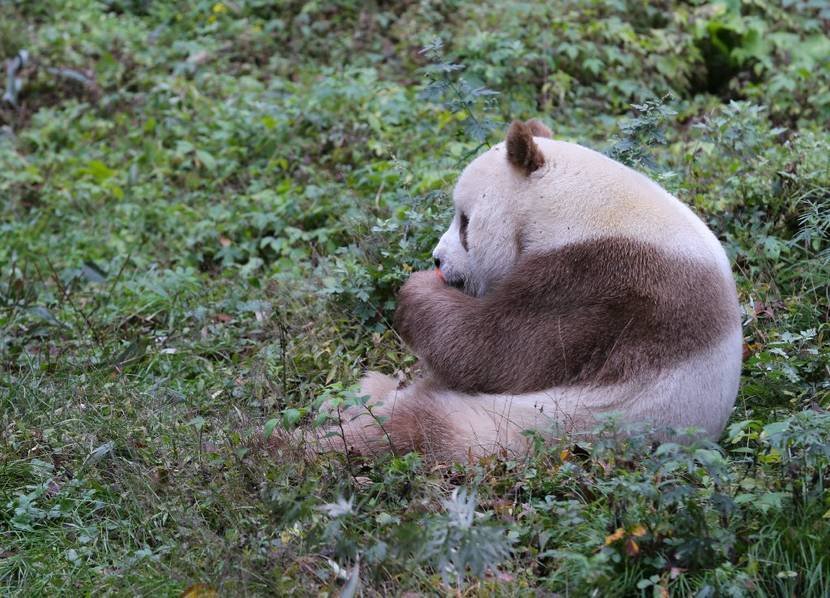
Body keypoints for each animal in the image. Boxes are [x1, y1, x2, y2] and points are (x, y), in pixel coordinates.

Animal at [321, 119, 743, 462]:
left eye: (464, 222)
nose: (438, 260)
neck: (578, 205)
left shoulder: (600, 280)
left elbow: (495, 352)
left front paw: (415, 290)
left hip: (538, 424)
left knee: (414, 430)